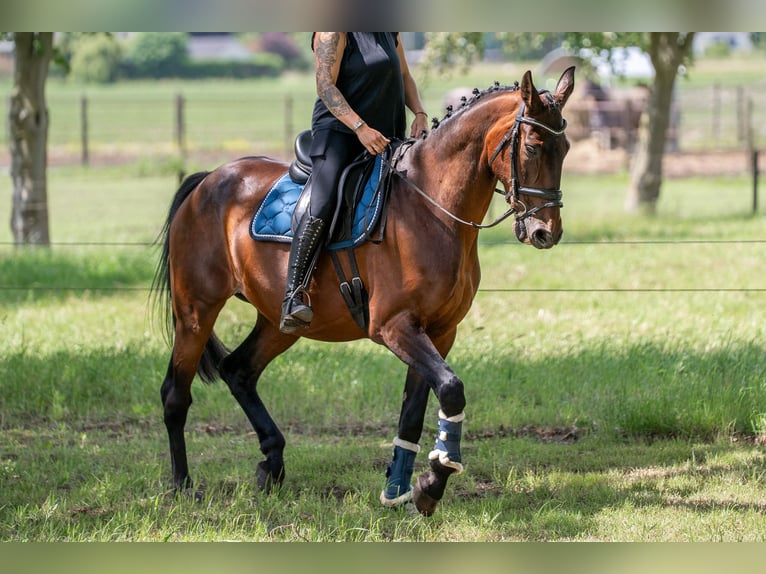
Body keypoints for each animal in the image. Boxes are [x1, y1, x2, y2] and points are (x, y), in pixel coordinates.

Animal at [152, 66, 575, 515]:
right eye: (532, 147)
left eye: (564, 148)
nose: (546, 232)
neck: (432, 207)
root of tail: (208, 180)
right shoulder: (393, 326)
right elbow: (451, 390)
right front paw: (433, 480)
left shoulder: (439, 331)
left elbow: (415, 411)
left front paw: (405, 489)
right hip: (195, 312)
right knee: (175, 394)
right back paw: (183, 484)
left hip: (279, 322)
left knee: (239, 370)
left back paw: (272, 463)